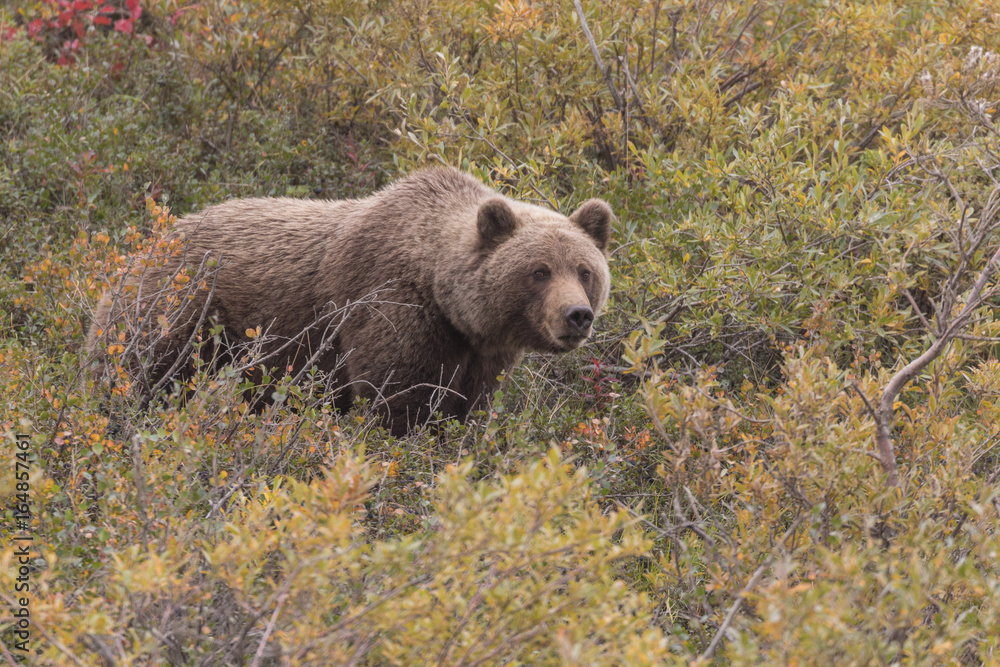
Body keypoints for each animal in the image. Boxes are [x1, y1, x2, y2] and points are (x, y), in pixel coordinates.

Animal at [85, 168, 613, 435]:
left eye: (584, 270)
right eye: (539, 271)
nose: (577, 315)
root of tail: (151, 238)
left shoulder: (479, 353)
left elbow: (465, 405)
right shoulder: (392, 308)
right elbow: (399, 400)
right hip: (177, 308)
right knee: (139, 372)